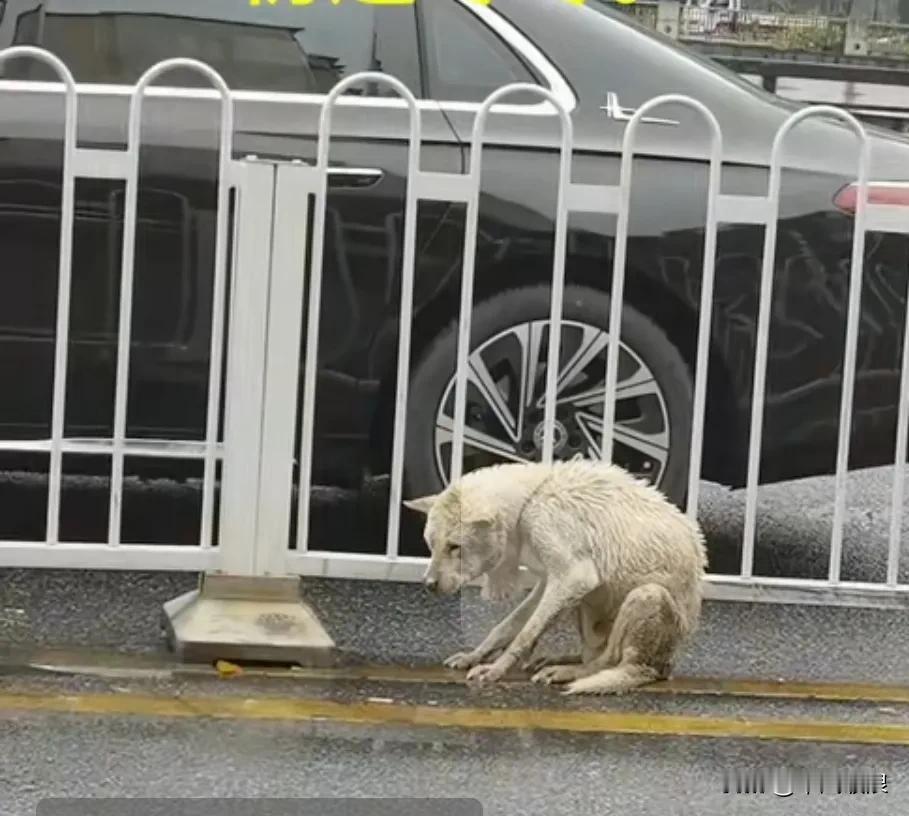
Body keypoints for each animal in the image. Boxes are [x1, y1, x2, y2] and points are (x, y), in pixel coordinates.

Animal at [404, 460, 708, 696]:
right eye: (431, 545)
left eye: (454, 547)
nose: (428, 585)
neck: (528, 502)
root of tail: (665, 667)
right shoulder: (551, 582)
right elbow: (507, 626)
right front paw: (474, 656)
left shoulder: (572, 577)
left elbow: (525, 633)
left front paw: (495, 669)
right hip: (585, 603)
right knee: (594, 654)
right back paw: (557, 660)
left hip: (646, 594)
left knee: (608, 662)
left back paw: (565, 672)